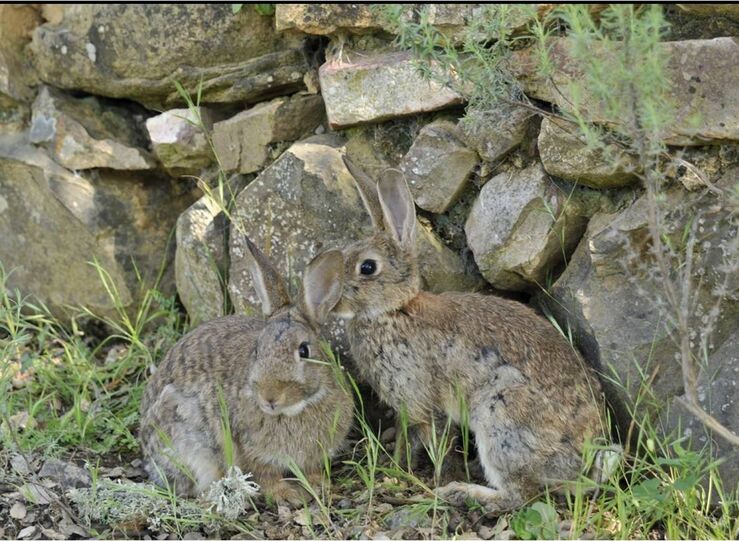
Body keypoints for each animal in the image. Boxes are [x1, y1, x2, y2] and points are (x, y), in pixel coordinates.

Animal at [142, 237, 358, 506]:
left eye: (304, 350)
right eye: (257, 349)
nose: (269, 397)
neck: (294, 410)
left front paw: (320, 485)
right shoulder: (250, 449)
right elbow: (266, 476)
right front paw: (287, 495)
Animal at [334, 155, 620, 510]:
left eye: (367, 267)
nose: (331, 299)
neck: (394, 310)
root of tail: (582, 463)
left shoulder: (417, 397)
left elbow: (421, 438)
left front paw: (406, 474)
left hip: (501, 417)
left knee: (520, 495)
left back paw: (462, 492)